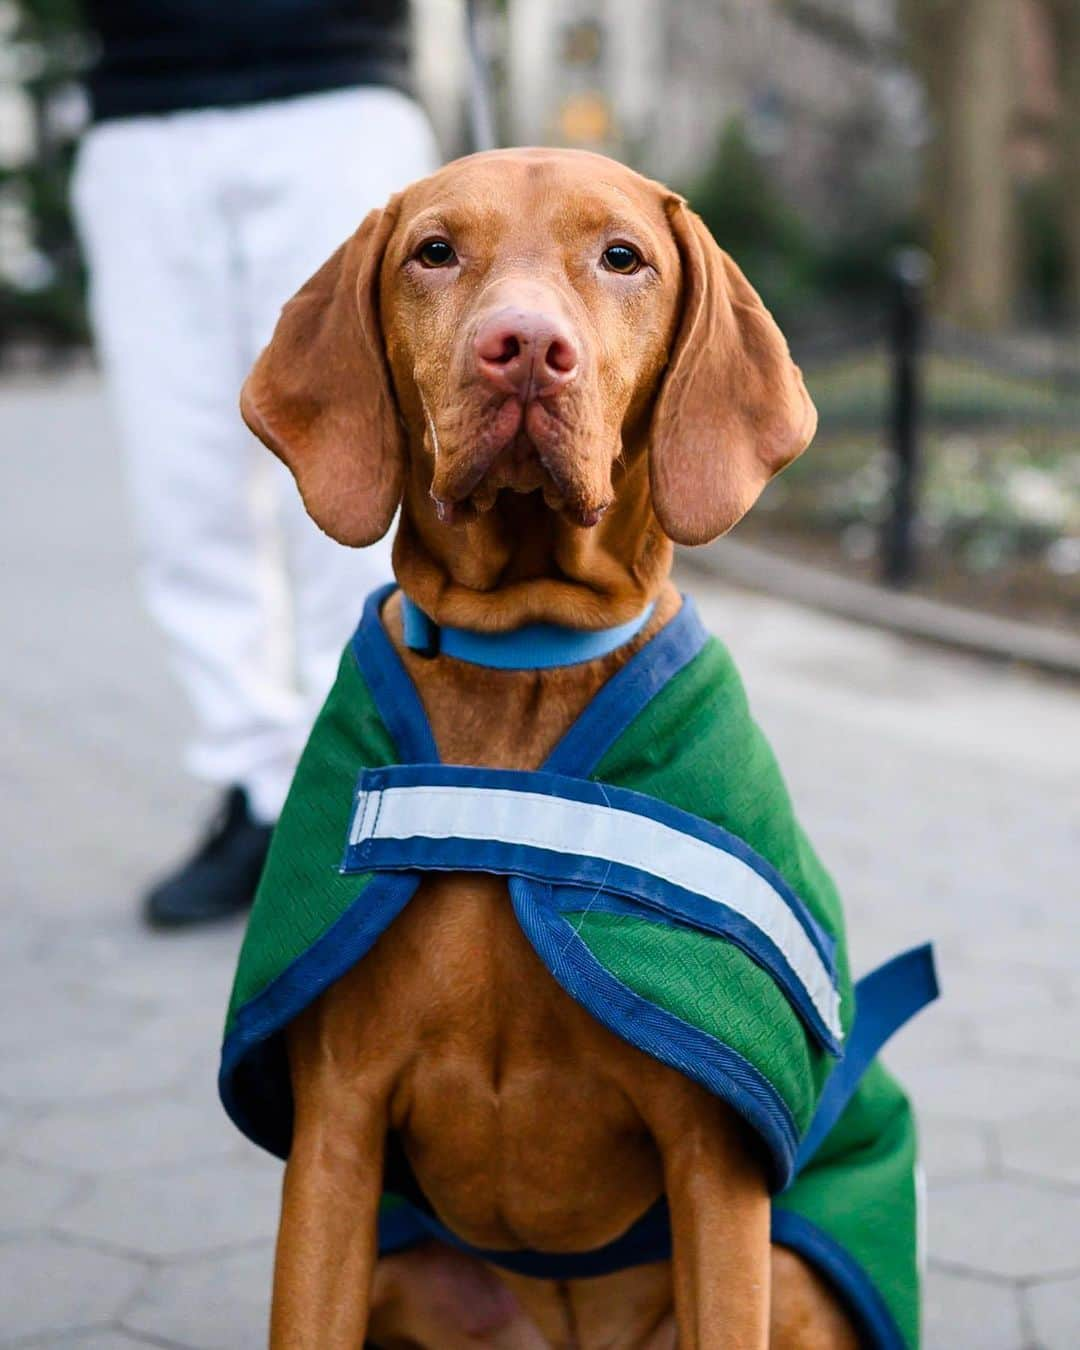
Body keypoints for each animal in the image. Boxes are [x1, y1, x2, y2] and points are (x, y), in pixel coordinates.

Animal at [240, 150, 858, 1350]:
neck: (522, 666)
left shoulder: (715, 1169)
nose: (524, 346)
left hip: (792, 1274)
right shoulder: (335, 1134)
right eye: (435, 251)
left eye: (622, 256)